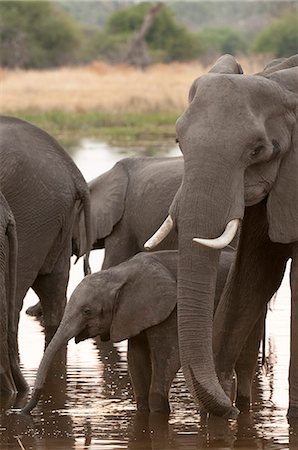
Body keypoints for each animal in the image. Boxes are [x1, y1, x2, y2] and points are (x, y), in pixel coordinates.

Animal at [21, 250, 235, 414]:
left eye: (87, 311)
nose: (21, 410)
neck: (119, 274)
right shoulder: (133, 315)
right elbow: (136, 360)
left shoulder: (171, 311)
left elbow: (168, 358)